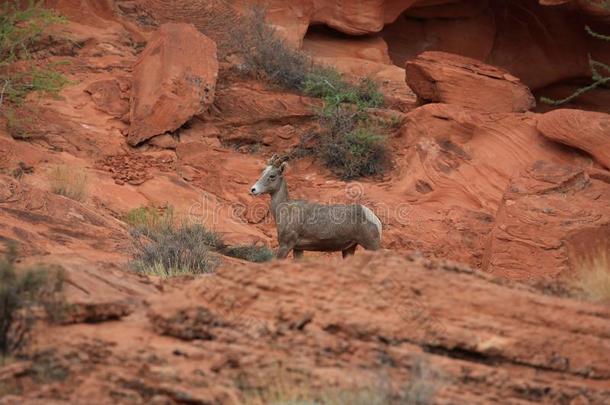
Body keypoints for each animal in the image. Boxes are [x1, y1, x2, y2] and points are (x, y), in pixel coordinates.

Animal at [248, 153, 380, 258]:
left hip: (371, 246)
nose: (253, 189)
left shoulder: (285, 245)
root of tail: (375, 220)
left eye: (272, 176)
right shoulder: (298, 249)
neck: (285, 210)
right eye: (263, 173)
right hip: (348, 249)